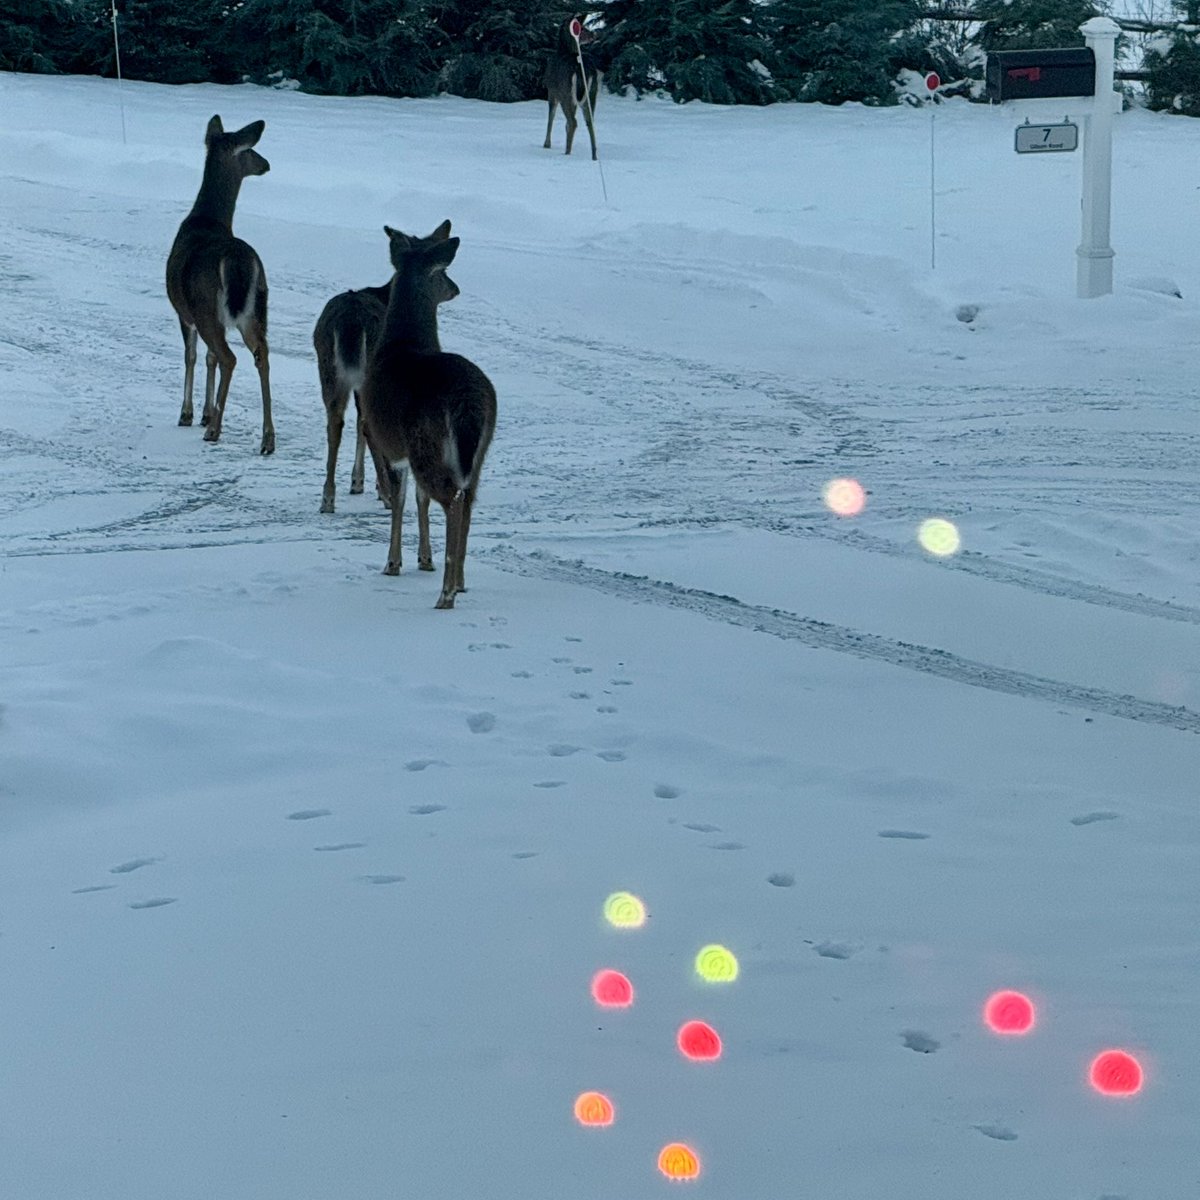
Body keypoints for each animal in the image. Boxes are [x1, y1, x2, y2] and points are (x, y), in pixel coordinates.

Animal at [166, 115, 275, 455]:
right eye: (251, 150)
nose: (267, 164)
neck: (208, 219)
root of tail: (238, 260)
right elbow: (208, 357)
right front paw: (205, 412)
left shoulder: (183, 311)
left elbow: (191, 356)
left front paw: (189, 414)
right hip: (256, 308)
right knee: (261, 354)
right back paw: (267, 439)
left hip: (205, 307)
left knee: (230, 357)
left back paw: (215, 430)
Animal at [312, 221, 459, 519]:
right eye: (443, 271)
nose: (455, 289)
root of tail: (351, 322)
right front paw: (371, 485)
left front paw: (356, 482)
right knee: (367, 425)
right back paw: (387, 493)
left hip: (328, 367)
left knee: (335, 421)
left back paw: (328, 498)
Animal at [360, 225, 497, 610]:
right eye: (443, 272)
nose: (455, 288)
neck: (402, 343)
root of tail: (469, 401)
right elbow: (418, 500)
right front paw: (424, 559)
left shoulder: (388, 442)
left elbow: (400, 498)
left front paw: (392, 564)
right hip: (478, 450)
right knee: (468, 499)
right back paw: (460, 582)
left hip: (425, 440)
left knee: (452, 499)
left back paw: (446, 593)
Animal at [544, 14, 601, 161]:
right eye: (582, 28)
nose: (594, 34)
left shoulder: (551, 92)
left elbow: (550, 117)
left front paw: (546, 144)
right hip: (592, 93)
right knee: (589, 122)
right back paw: (594, 155)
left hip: (566, 94)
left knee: (573, 122)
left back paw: (567, 152)